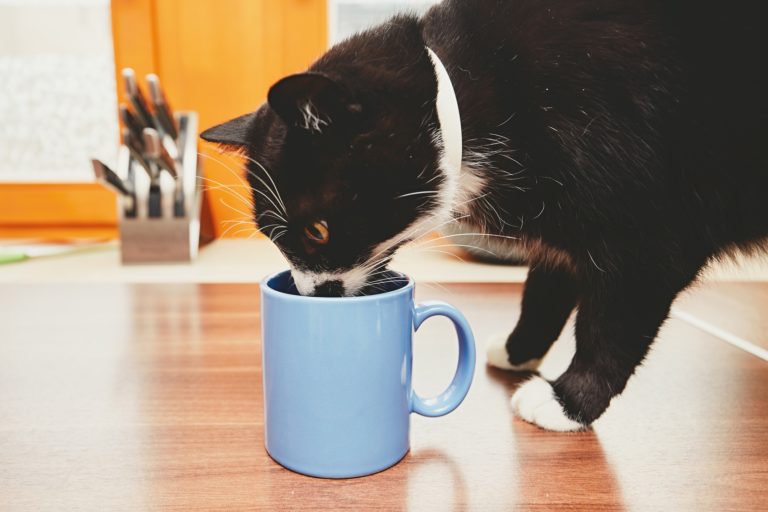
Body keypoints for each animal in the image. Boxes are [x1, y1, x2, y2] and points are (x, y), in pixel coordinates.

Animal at [200, 1, 768, 432]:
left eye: (317, 230)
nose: (312, 294)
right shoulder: (567, 222)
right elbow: (546, 286)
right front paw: (520, 350)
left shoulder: (651, 227)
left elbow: (613, 322)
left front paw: (569, 401)